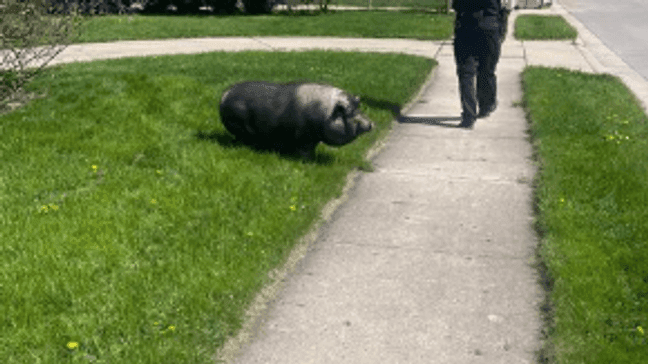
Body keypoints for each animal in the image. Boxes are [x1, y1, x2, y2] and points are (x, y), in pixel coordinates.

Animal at [219, 82, 374, 159]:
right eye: (350, 112)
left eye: (358, 108)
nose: (372, 123)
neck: (325, 114)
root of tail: (224, 95)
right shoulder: (305, 137)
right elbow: (305, 150)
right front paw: (308, 162)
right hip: (239, 123)